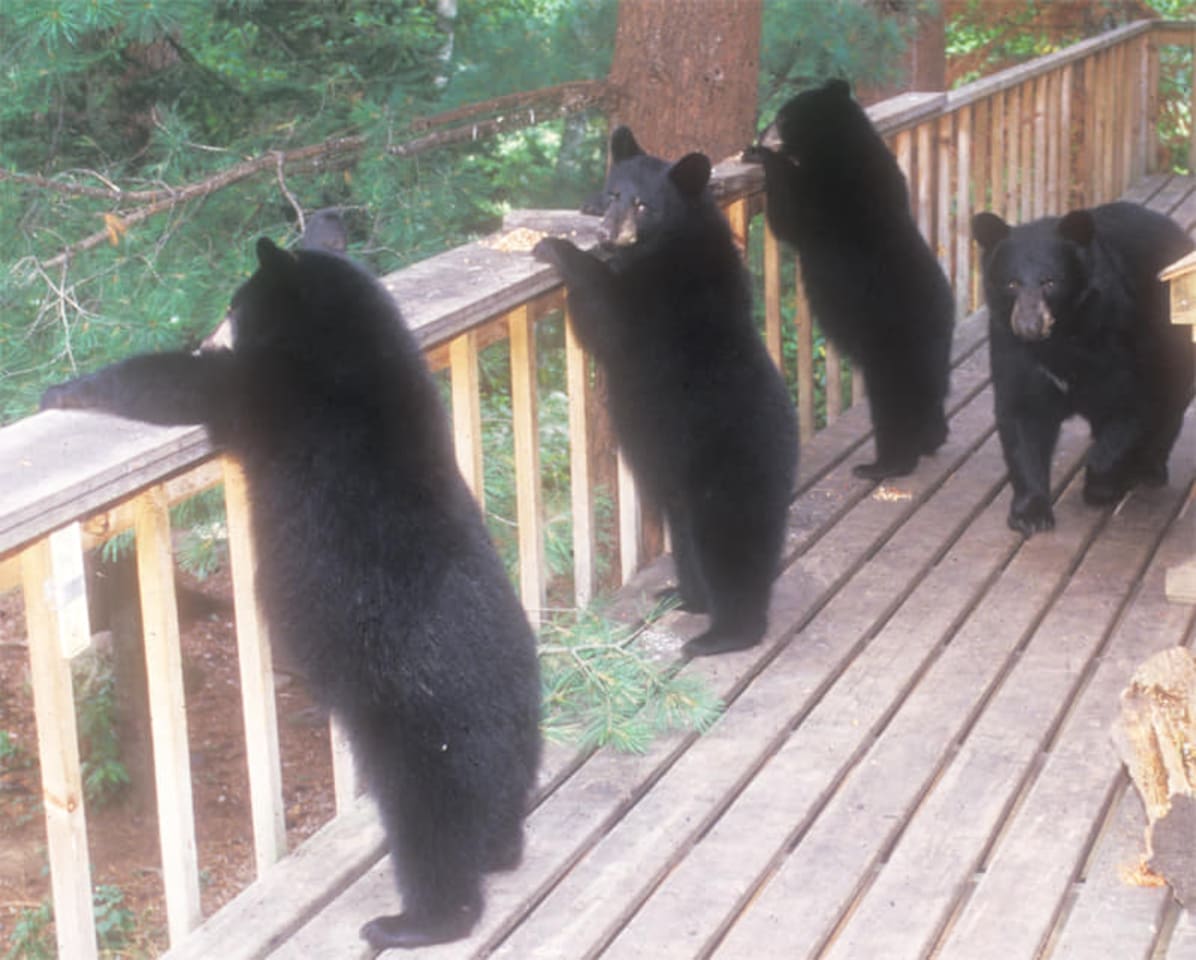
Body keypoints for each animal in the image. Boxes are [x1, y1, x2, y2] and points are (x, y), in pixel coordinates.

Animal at [40, 237, 543, 950]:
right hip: (511, 732)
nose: (207, 331)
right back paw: (500, 850)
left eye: (233, 302)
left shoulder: (275, 389)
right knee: (499, 799)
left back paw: (413, 921)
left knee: (431, 830)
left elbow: (185, 386)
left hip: (423, 729)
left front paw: (66, 388)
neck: (353, 344)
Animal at [533, 126, 798, 658]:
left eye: (643, 205)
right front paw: (582, 208)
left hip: (730, 477)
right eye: (615, 192)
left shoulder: (659, 298)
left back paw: (720, 635)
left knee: (731, 551)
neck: (669, 242)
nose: (608, 232)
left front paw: (555, 248)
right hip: (680, 493)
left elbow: (605, 315)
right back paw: (686, 596)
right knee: (688, 543)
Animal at [745, 78, 955, 480]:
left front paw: (761, 156)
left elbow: (790, 217)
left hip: (892, 346)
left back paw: (884, 464)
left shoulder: (830, 200)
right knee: (930, 395)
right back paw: (932, 439)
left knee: (894, 406)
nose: (761, 133)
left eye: (782, 117)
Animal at [972, 201, 1195, 535]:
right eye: (1011, 283)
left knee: (1170, 404)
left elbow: (1131, 406)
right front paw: (1030, 513)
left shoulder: (1119, 339)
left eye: (1050, 282)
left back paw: (1150, 467)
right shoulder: (1012, 350)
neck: (1064, 334)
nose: (1028, 326)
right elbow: (1022, 419)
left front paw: (1101, 486)